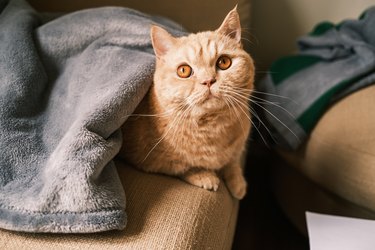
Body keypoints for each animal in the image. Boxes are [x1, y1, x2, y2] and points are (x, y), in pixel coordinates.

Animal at [120, 6, 256, 200]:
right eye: (184, 70)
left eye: (224, 62)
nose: (208, 81)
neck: (212, 129)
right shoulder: (147, 161)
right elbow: (184, 167)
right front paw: (205, 175)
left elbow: (232, 161)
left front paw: (237, 181)